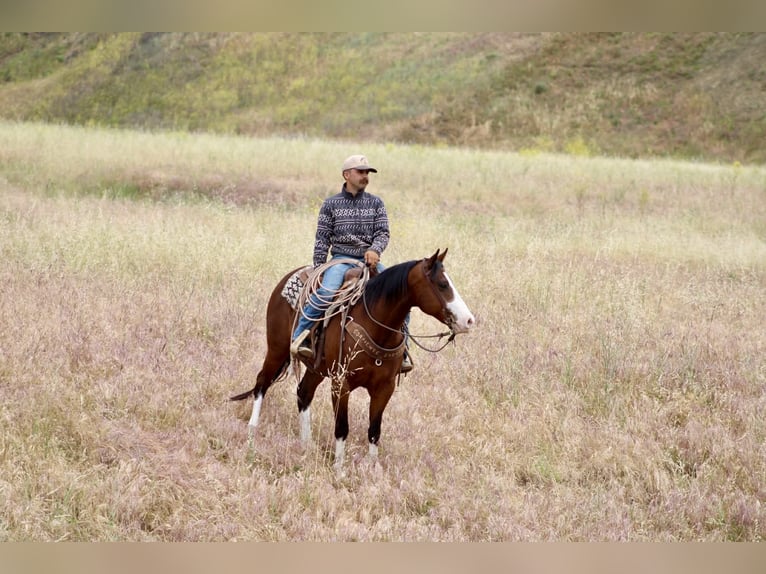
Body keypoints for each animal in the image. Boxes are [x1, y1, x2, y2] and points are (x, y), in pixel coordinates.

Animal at [230, 249, 475, 472]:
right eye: (442, 284)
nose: (469, 320)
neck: (375, 326)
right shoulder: (341, 383)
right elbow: (341, 427)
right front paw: (339, 469)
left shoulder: (384, 388)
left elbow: (374, 430)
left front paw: (373, 469)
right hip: (277, 348)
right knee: (262, 382)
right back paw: (252, 430)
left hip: (317, 368)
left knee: (303, 392)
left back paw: (307, 444)